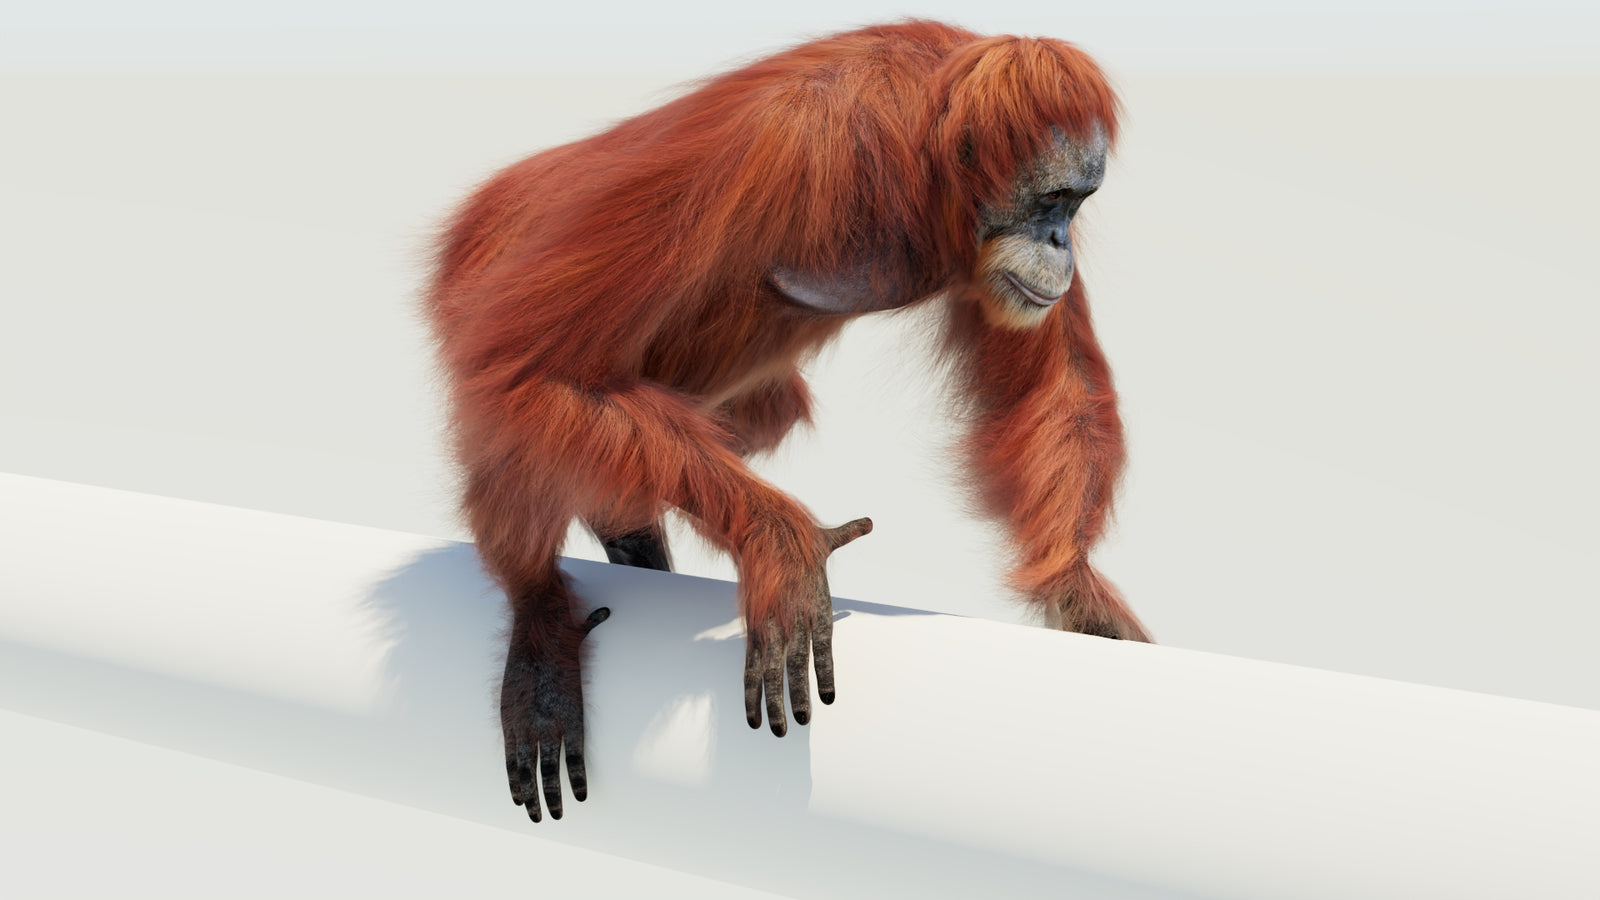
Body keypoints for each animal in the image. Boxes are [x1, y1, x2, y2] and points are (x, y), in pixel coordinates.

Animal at [425, 19, 1150, 824]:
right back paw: (539, 615)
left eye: (1077, 204)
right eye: (1050, 200)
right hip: (479, 265)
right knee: (512, 391)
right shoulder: (778, 145)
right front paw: (782, 546)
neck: (921, 152)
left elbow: (1054, 382)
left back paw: (626, 534)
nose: (1060, 242)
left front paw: (1078, 593)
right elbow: (532, 363)